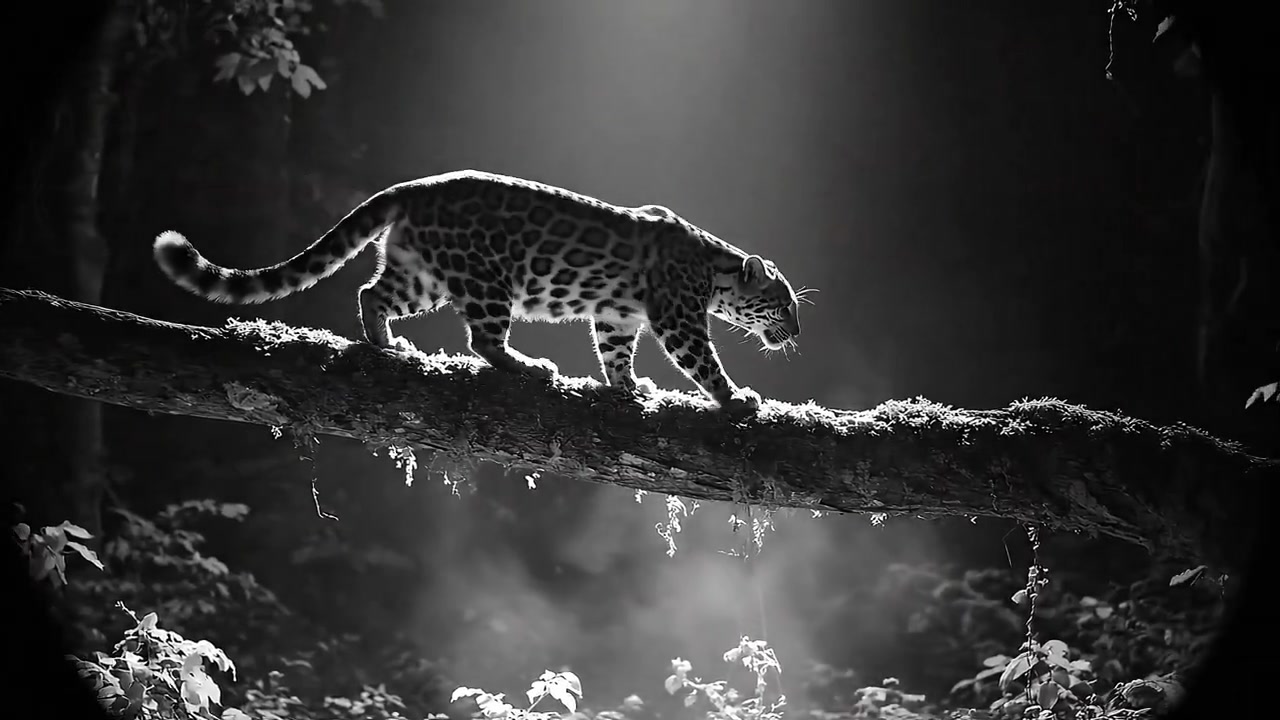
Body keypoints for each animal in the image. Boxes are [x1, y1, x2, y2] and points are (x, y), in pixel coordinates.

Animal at [152, 169, 807, 411]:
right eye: (783, 305)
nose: (796, 334)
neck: (716, 268)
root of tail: (415, 187)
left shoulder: (619, 315)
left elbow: (615, 351)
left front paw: (627, 386)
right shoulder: (677, 315)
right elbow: (702, 360)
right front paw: (736, 398)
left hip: (422, 274)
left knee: (370, 293)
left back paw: (388, 345)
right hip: (489, 279)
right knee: (483, 342)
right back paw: (530, 366)